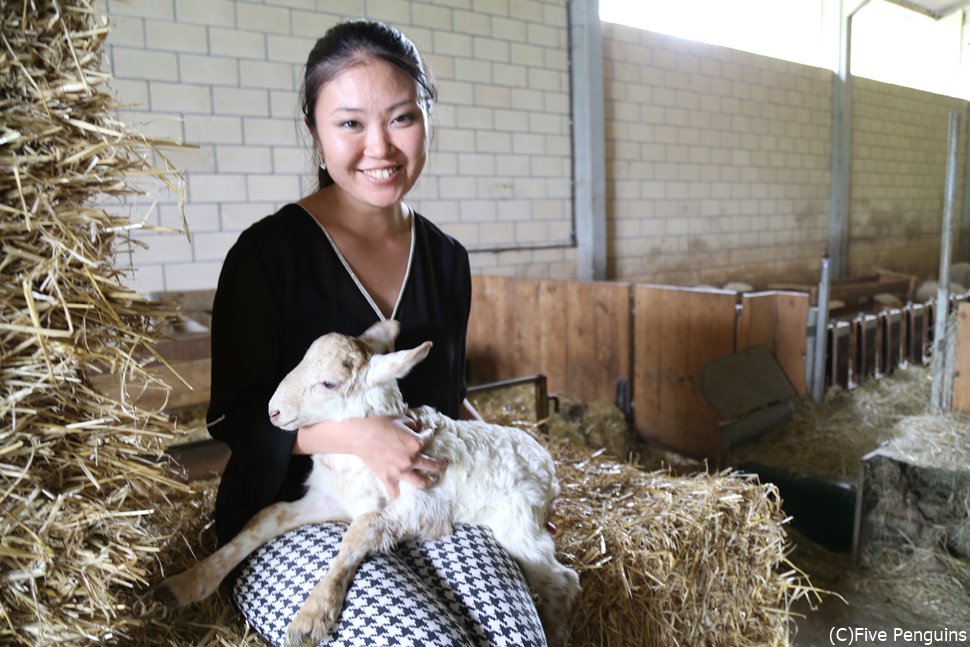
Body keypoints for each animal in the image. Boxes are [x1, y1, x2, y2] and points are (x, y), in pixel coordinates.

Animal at [159, 320, 580, 647]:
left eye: (328, 383)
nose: (272, 412)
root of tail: (547, 463)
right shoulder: (327, 499)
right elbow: (265, 517)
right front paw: (184, 584)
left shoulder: (420, 503)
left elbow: (363, 529)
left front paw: (311, 618)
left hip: (520, 527)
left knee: (564, 580)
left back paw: (559, 628)